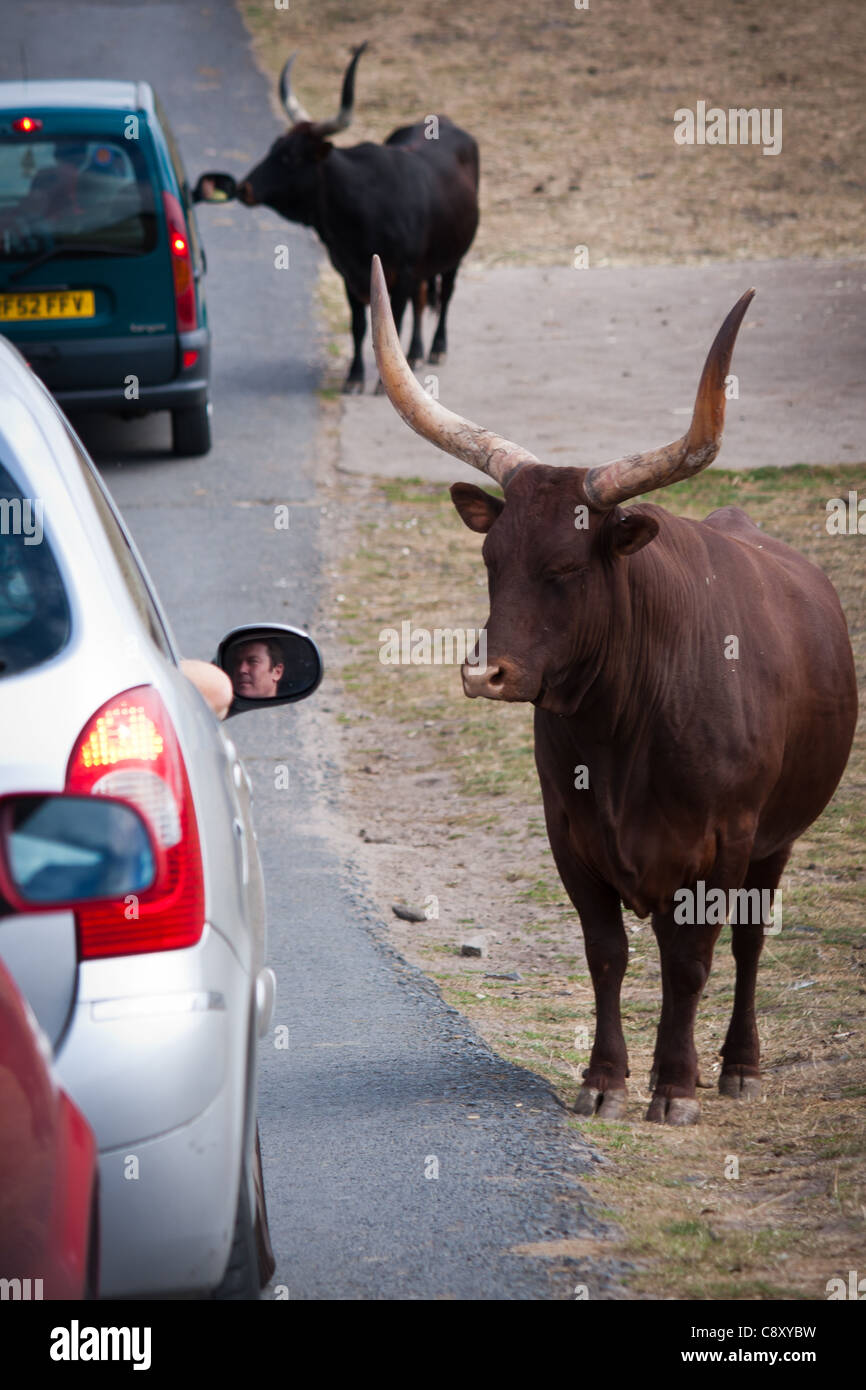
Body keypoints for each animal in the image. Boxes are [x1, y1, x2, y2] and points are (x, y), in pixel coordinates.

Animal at [369, 255, 856, 1123]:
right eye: (491, 558)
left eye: (565, 568)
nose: (485, 671)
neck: (624, 729)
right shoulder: (571, 835)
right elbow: (607, 953)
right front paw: (605, 1078)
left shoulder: (721, 843)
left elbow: (692, 960)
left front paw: (675, 1085)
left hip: (776, 840)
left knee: (749, 942)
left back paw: (739, 1064)